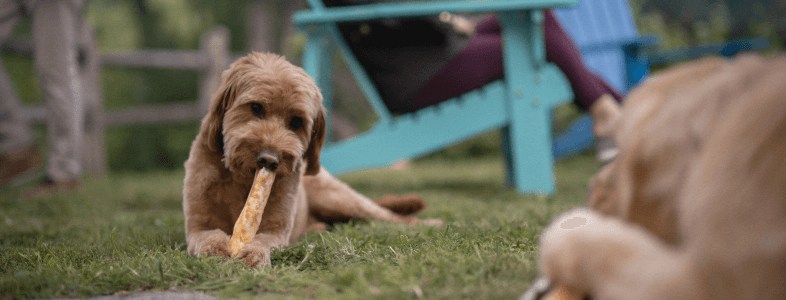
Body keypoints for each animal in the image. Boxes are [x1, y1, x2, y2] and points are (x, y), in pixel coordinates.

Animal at [184, 52, 440, 268]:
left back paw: (430, 223)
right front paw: (216, 250)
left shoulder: (276, 231)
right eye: (256, 107)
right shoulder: (197, 226)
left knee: (389, 215)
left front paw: (252, 254)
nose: (269, 159)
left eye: (296, 122)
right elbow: (209, 236)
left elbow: (263, 241)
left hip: (338, 199)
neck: (242, 182)